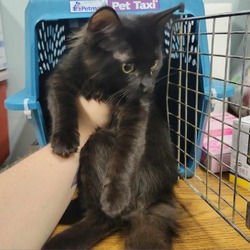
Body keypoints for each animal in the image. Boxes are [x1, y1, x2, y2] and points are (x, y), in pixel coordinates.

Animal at [42, 2, 184, 249]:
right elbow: (62, 106)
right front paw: (63, 140)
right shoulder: (60, 79)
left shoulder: (136, 112)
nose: (146, 86)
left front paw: (115, 197)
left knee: (106, 218)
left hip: (97, 143)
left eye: (154, 64)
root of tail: (158, 195)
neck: (104, 86)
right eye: (128, 67)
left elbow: (125, 156)